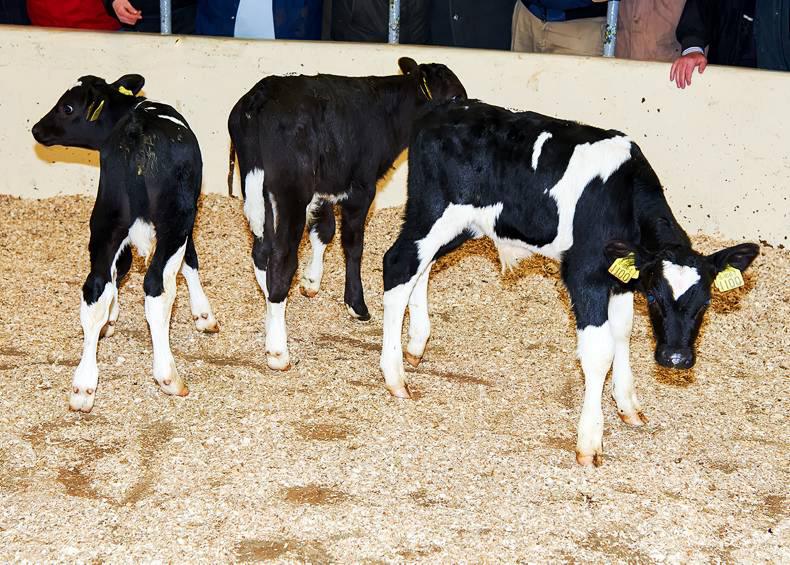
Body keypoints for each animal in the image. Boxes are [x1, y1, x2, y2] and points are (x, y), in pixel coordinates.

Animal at [32, 74, 218, 413]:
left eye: (67, 107)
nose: (36, 129)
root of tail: (137, 131)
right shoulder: (186, 219)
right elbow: (191, 260)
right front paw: (204, 316)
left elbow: (117, 272)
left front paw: (111, 317)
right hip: (174, 221)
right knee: (156, 287)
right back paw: (169, 377)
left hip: (105, 219)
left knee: (95, 286)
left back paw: (83, 387)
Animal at [227, 57, 467, 371]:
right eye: (456, 97)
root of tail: (260, 96)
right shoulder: (361, 190)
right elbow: (353, 246)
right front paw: (357, 304)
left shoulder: (327, 187)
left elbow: (324, 230)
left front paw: (311, 281)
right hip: (291, 193)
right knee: (280, 260)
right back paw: (278, 351)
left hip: (261, 193)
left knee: (261, 252)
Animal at [379, 100, 759, 466]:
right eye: (653, 297)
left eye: (706, 302)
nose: (676, 358)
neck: (620, 196)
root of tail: (444, 109)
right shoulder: (584, 274)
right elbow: (599, 351)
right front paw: (590, 442)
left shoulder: (621, 276)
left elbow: (622, 333)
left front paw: (628, 405)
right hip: (433, 211)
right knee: (398, 265)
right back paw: (396, 377)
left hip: (461, 225)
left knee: (422, 268)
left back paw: (415, 346)